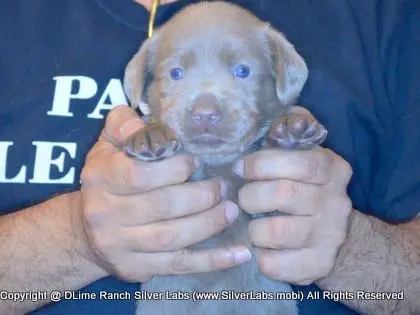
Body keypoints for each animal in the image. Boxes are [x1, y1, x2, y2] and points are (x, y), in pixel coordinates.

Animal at [123, 1, 326, 314]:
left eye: (242, 70)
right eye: (176, 73)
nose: (205, 112)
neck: (219, 166)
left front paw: (293, 126)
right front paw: (149, 134)